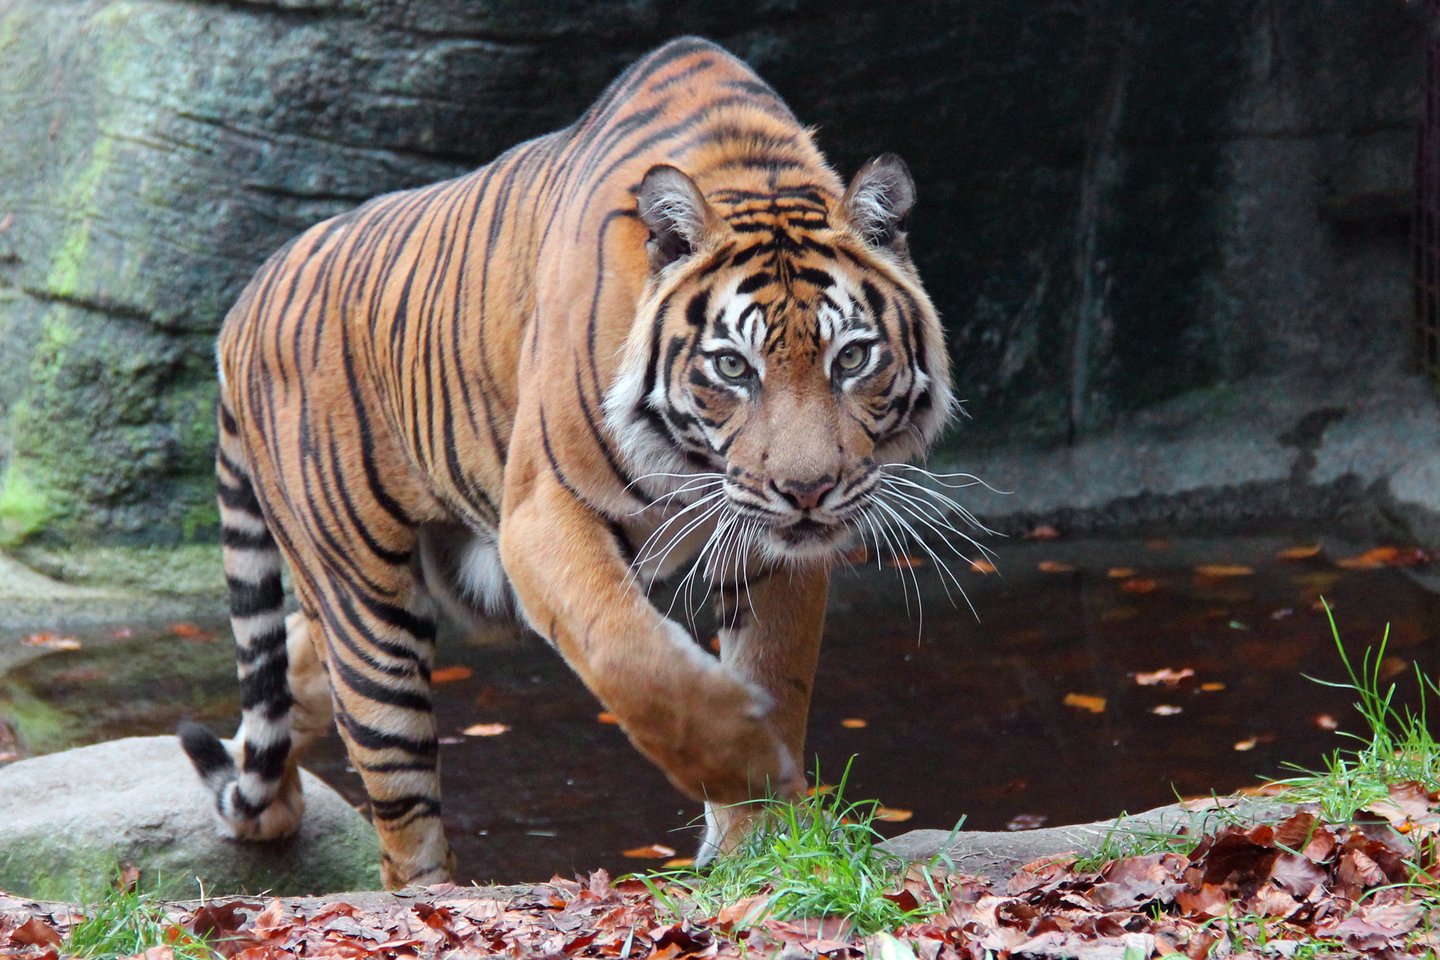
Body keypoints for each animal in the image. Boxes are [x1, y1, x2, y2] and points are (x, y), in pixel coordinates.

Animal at [179, 35, 957, 889]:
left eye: (851, 358)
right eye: (732, 367)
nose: (808, 491)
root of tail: (243, 302)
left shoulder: (771, 549)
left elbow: (776, 672)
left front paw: (760, 843)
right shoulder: (542, 510)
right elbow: (633, 656)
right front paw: (746, 764)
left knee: (291, 663)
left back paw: (272, 807)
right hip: (365, 598)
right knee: (398, 804)